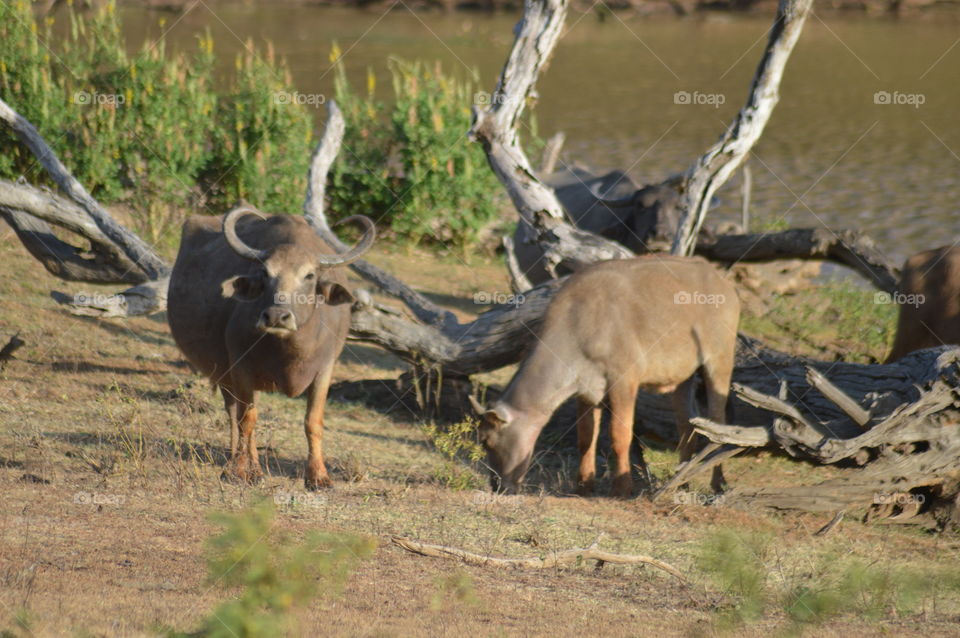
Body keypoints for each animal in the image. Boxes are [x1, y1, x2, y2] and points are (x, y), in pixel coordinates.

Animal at [167, 206, 374, 490]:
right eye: (266, 274)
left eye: (309, 275)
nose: (276, 316)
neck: (290, 353)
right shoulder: (240, 366)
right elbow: (247, 419)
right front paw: (239, 471)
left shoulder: (325, 369)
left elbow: (313, 421)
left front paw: (318, 476)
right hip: (224, 372)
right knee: (235, 414)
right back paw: (244, 465)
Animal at [476, 258, 740, 498]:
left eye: (487, 441)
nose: (497, 486)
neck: (577, 328)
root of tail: (722, 281)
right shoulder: (586, 390)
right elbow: (585, 438)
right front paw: (583, 486)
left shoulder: (624, 381)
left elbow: (619, 435)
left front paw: (622, 488)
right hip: (684, 377)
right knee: (686, 424)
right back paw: (681, 484)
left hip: (719, 359)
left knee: (718, 422)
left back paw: (718, 483)